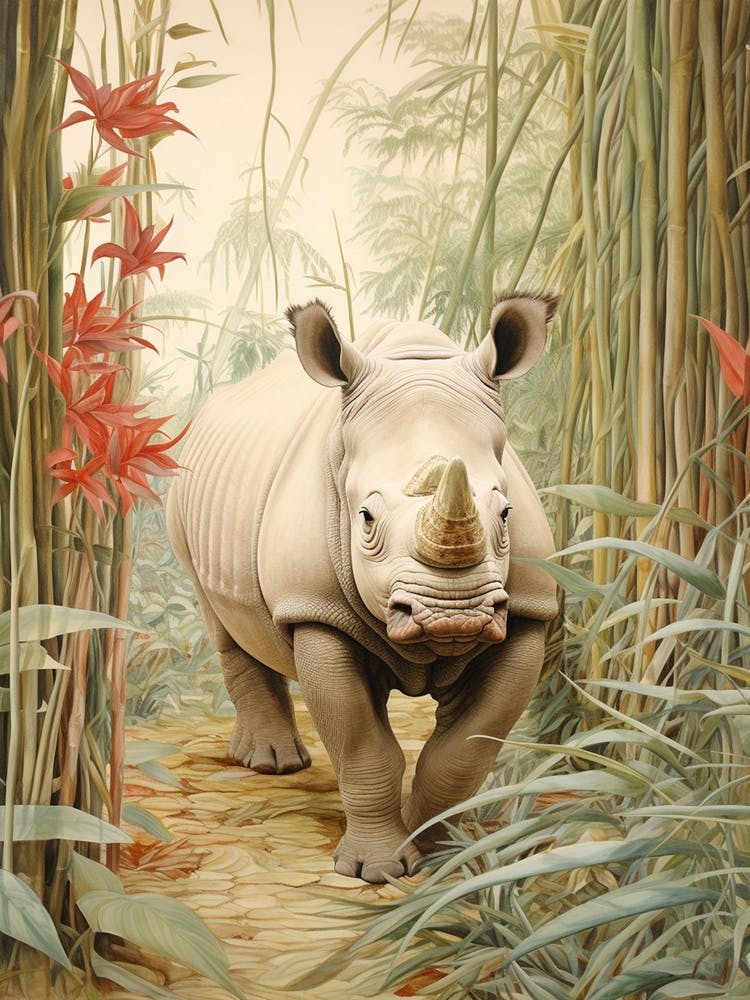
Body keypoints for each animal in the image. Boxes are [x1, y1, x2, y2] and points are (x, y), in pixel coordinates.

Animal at [166, 294, 558, 883]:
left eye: (507, 513)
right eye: (365, 518)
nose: (453, 613)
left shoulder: (527, 612)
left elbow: (464, 751)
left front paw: (438, 857)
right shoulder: (314, 607)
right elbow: (360, 742)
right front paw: (378, 869)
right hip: (179, 493)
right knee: (222, 621)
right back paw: (273, 765)